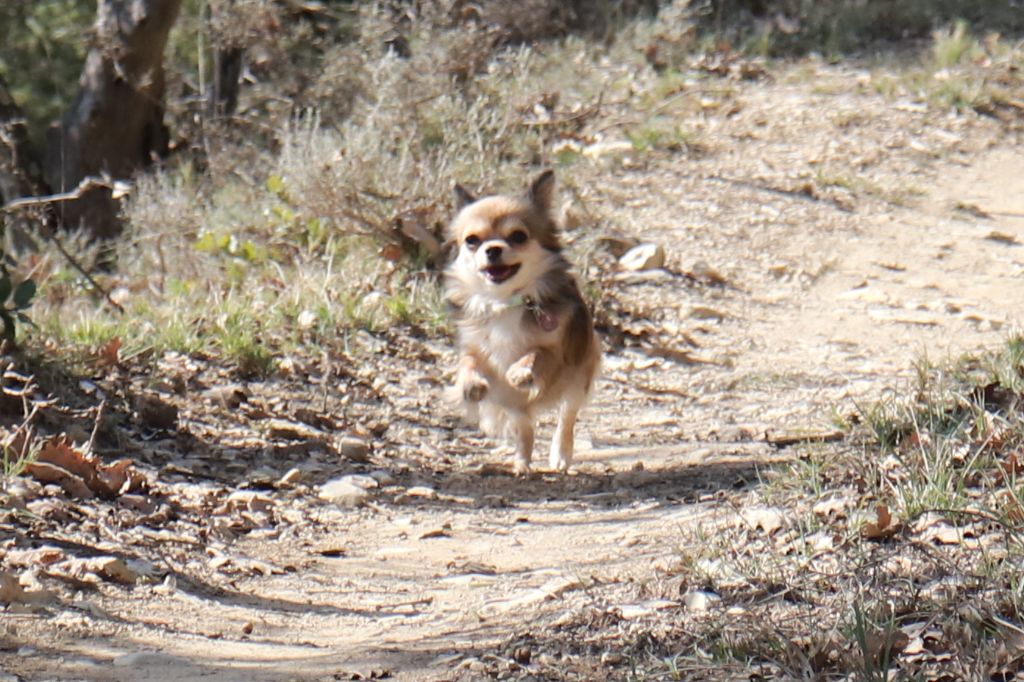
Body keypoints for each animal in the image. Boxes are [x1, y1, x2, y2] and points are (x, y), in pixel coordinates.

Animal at [442, 168, 598, 473]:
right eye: (472, 240)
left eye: (518, 236)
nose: (492, 249)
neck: (505, 302)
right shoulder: (474, 347)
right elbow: (467, 362)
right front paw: (470, 384)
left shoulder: (559, 353)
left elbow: (539, 353)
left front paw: (521, 370)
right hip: (514, 406)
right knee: (525, 430)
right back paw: (521, 463)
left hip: (577, 381)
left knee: (566, 419)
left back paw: (560, 455)